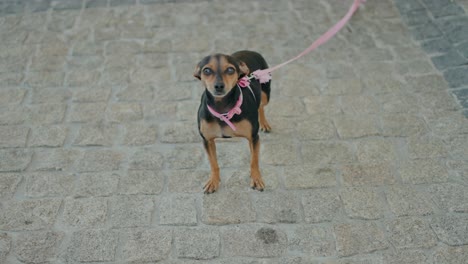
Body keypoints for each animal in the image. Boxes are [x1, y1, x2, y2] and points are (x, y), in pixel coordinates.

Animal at [194, 50, 272, 194]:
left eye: (230, 69)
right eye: (206, 70)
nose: (219, 86)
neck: (223, 108)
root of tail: (250, 51)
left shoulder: (253, 137)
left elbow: (254, 161)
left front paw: (256, 179)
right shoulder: (207, 140)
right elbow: (213, 163)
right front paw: (213, 181)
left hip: (266, 94)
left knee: (261, 106)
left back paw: (264, 123)